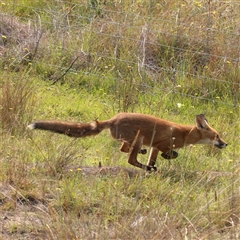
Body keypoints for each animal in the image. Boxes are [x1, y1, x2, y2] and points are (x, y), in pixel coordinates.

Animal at [27, 112, 228, 171]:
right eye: (217, 136)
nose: (226, 144)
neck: (183, 133)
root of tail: (113, 119)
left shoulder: (154, 146)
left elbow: (155, 157)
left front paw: (153, 165)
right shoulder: (162, 143)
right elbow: (173, 154)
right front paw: (161, 161)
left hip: (134, 140)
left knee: (125, 149)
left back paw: (144, 161)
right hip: (139, 137)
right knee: (130, 158)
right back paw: (144, 166)